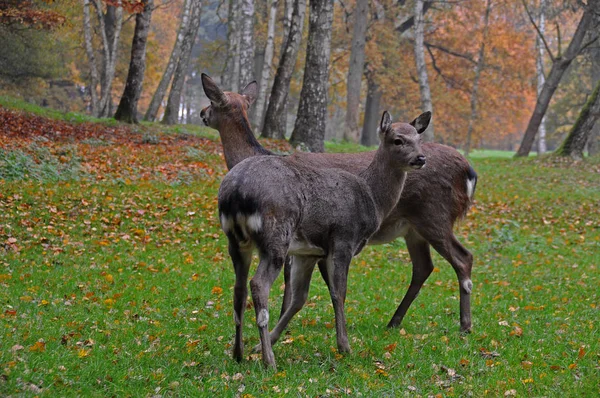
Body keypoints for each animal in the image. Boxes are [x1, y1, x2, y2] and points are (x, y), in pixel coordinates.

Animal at [202, 72, 478, 336]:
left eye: (212, 101)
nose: (203, 114)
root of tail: (469, 172)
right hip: (413, 229)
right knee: (424, 267)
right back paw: (394, 321)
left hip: (434, 216)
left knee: (463, 258)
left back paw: (464, 325)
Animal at [218, 108, 428, 366]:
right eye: (398, 140)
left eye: (419, 138)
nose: (421, 158)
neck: (373, 200)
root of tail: (235, 192)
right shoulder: (344, 239)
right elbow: (339, 293)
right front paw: (345, 346)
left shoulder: (307, 253)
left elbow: (300, 298)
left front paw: (262, 344)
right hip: (276, 236)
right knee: (258, 284)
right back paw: (269, 361)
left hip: (236, 241)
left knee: (239, 289)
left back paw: (238, 353)